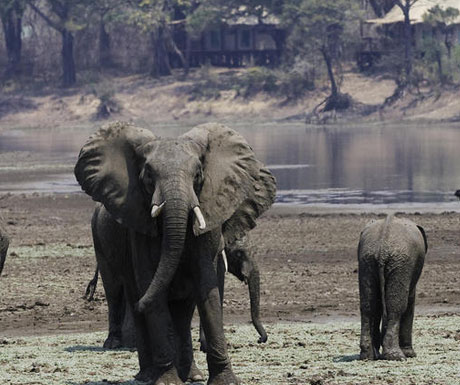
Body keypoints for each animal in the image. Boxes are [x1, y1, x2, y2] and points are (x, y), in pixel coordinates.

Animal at [74, 122, 276, 384]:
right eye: (148, 176)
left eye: (198, 174)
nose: (262, 339)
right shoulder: (139, 228)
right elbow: (153, 289)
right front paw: (168, 381)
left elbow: (207, 287)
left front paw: (226, 380)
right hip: (100, 238)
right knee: (118, 290)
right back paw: (142, 370)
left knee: (179, 312)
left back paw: (192, 375)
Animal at [356, 214, 428, 358]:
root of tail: (382, 247)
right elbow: (409, 302)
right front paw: (410, 354)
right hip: (400, 263)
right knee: (396, 307)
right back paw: (396, 356)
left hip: (367, 261)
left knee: (368, 306)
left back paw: (368, 355)